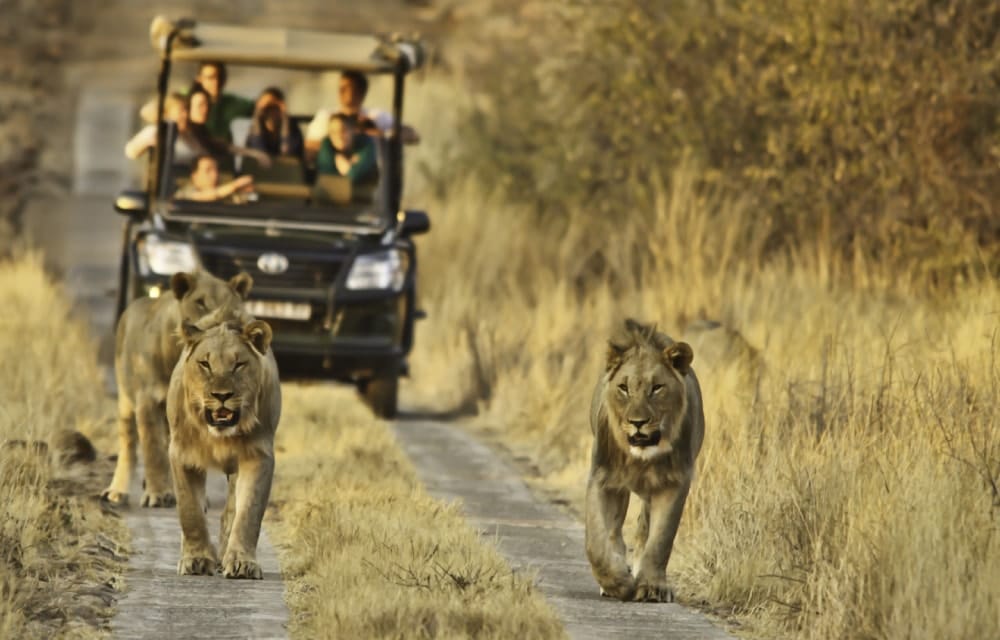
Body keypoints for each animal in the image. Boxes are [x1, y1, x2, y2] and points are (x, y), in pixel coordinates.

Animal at [100, 268, 254, 504]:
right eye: (200, 302)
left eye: (231, 303)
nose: (222, 323)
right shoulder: (147, 401)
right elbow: (153, 450)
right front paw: (157, 494)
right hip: (126, 398)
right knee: (128, 444)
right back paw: (117, 491)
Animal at [166, 316, 280, 580]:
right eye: (205, 364)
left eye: (238, 364)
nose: (221, 395)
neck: (220, 435)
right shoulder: (182, 453)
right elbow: (190, 512)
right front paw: (196, 559)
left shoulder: (259, 456)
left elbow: (248, 513)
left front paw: (242, 563)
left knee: (231, 511)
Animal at [584, 318, 704, 604]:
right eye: (624, 388)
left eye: (657, 388)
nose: (637, 422)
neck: (642, 458)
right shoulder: (602, 478)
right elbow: (597, 541)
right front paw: (617, 582)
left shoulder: (675, 483)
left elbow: (660, 539)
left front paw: (651, 586)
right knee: (614, 532)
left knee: (643, 528)